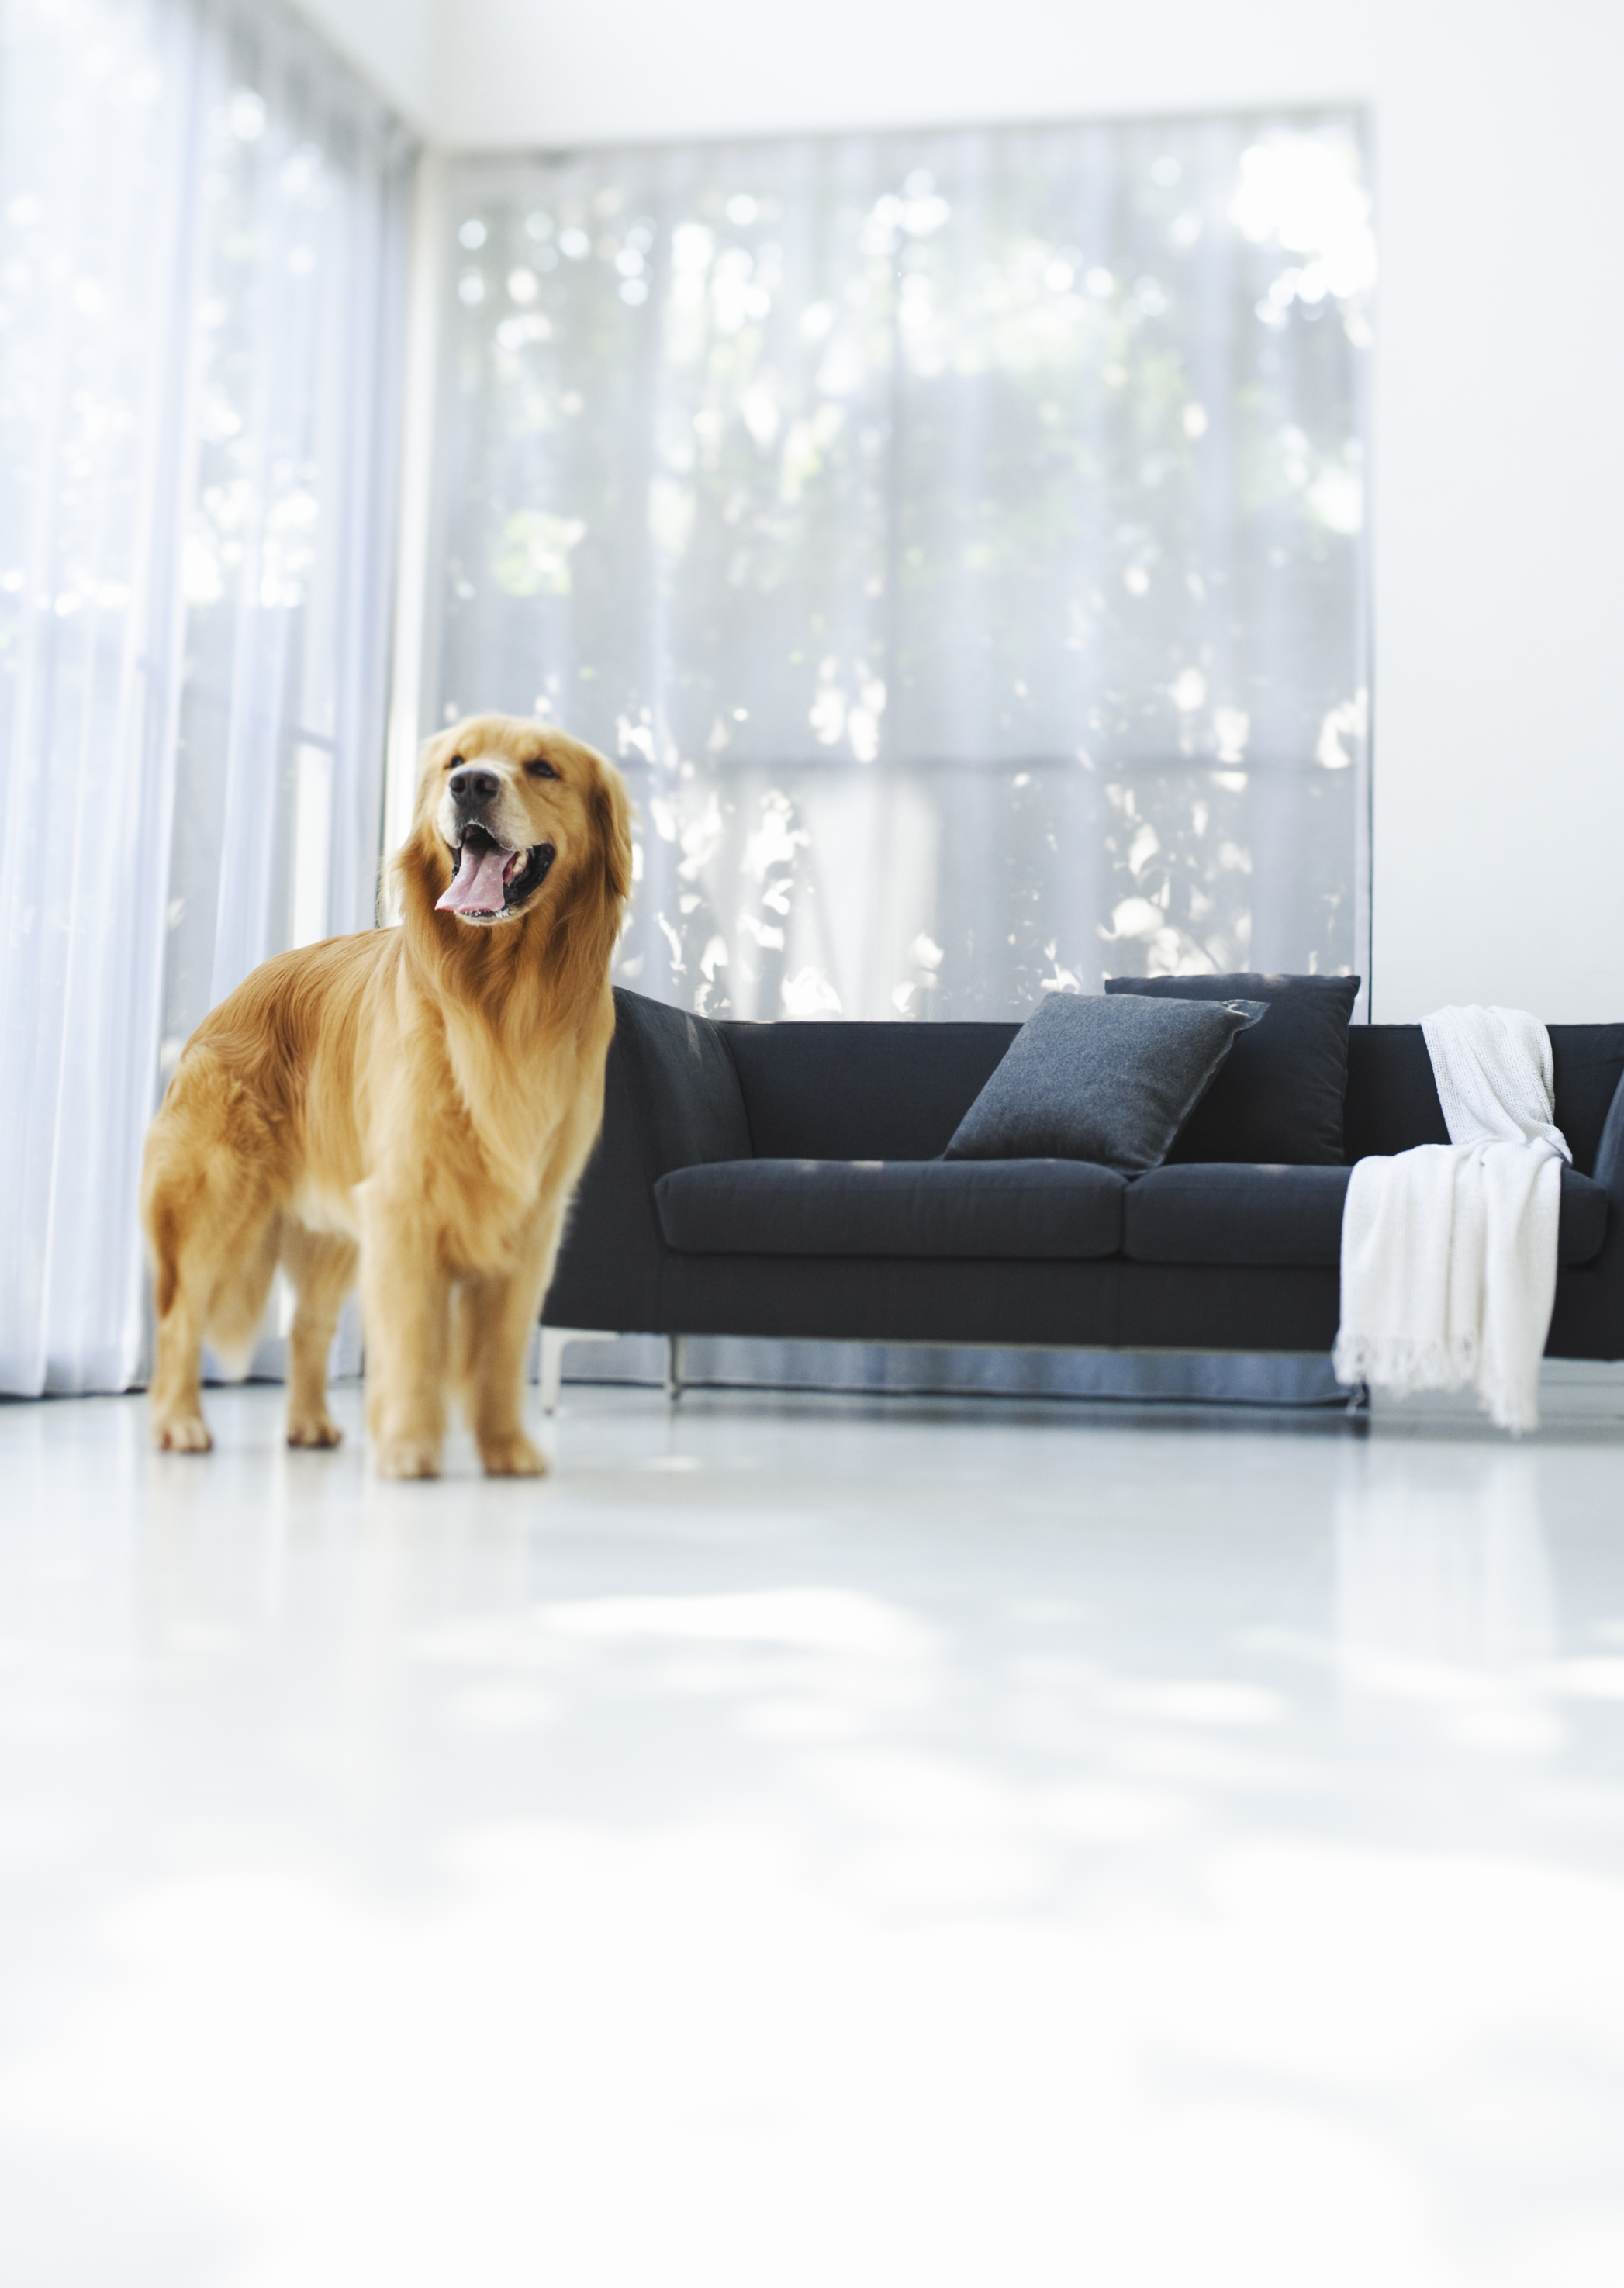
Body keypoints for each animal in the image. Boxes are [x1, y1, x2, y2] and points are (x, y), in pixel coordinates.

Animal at [143, 704, 631, 1473]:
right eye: (455, 760)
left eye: (543, 767)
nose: (471, 785)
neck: (504, 997)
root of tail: (232, 998)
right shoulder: (406, 1201)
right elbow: (411, 1340)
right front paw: (407, 1447)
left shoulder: (530, 1216)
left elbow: (499, 1351)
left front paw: (506, 1450)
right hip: (217, 1198)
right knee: (179, 1316)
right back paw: (179, 1423)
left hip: (334, 1229)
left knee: (308, 1328)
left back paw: (311, 1425)